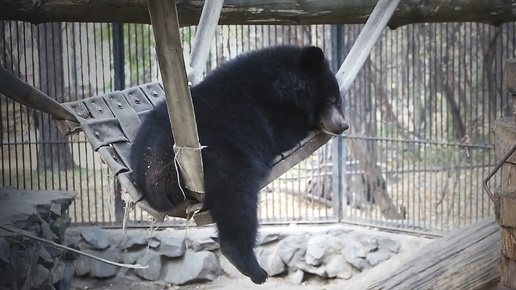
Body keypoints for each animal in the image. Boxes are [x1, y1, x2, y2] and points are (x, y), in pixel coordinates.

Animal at [129, 46, 348, 284]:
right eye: (330, 100)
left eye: (337, 101)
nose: (343, 125)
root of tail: (159, 167)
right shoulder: (269, 116)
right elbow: (287, 129)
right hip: (224, 159)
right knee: (237, 202)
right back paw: (251, 266)